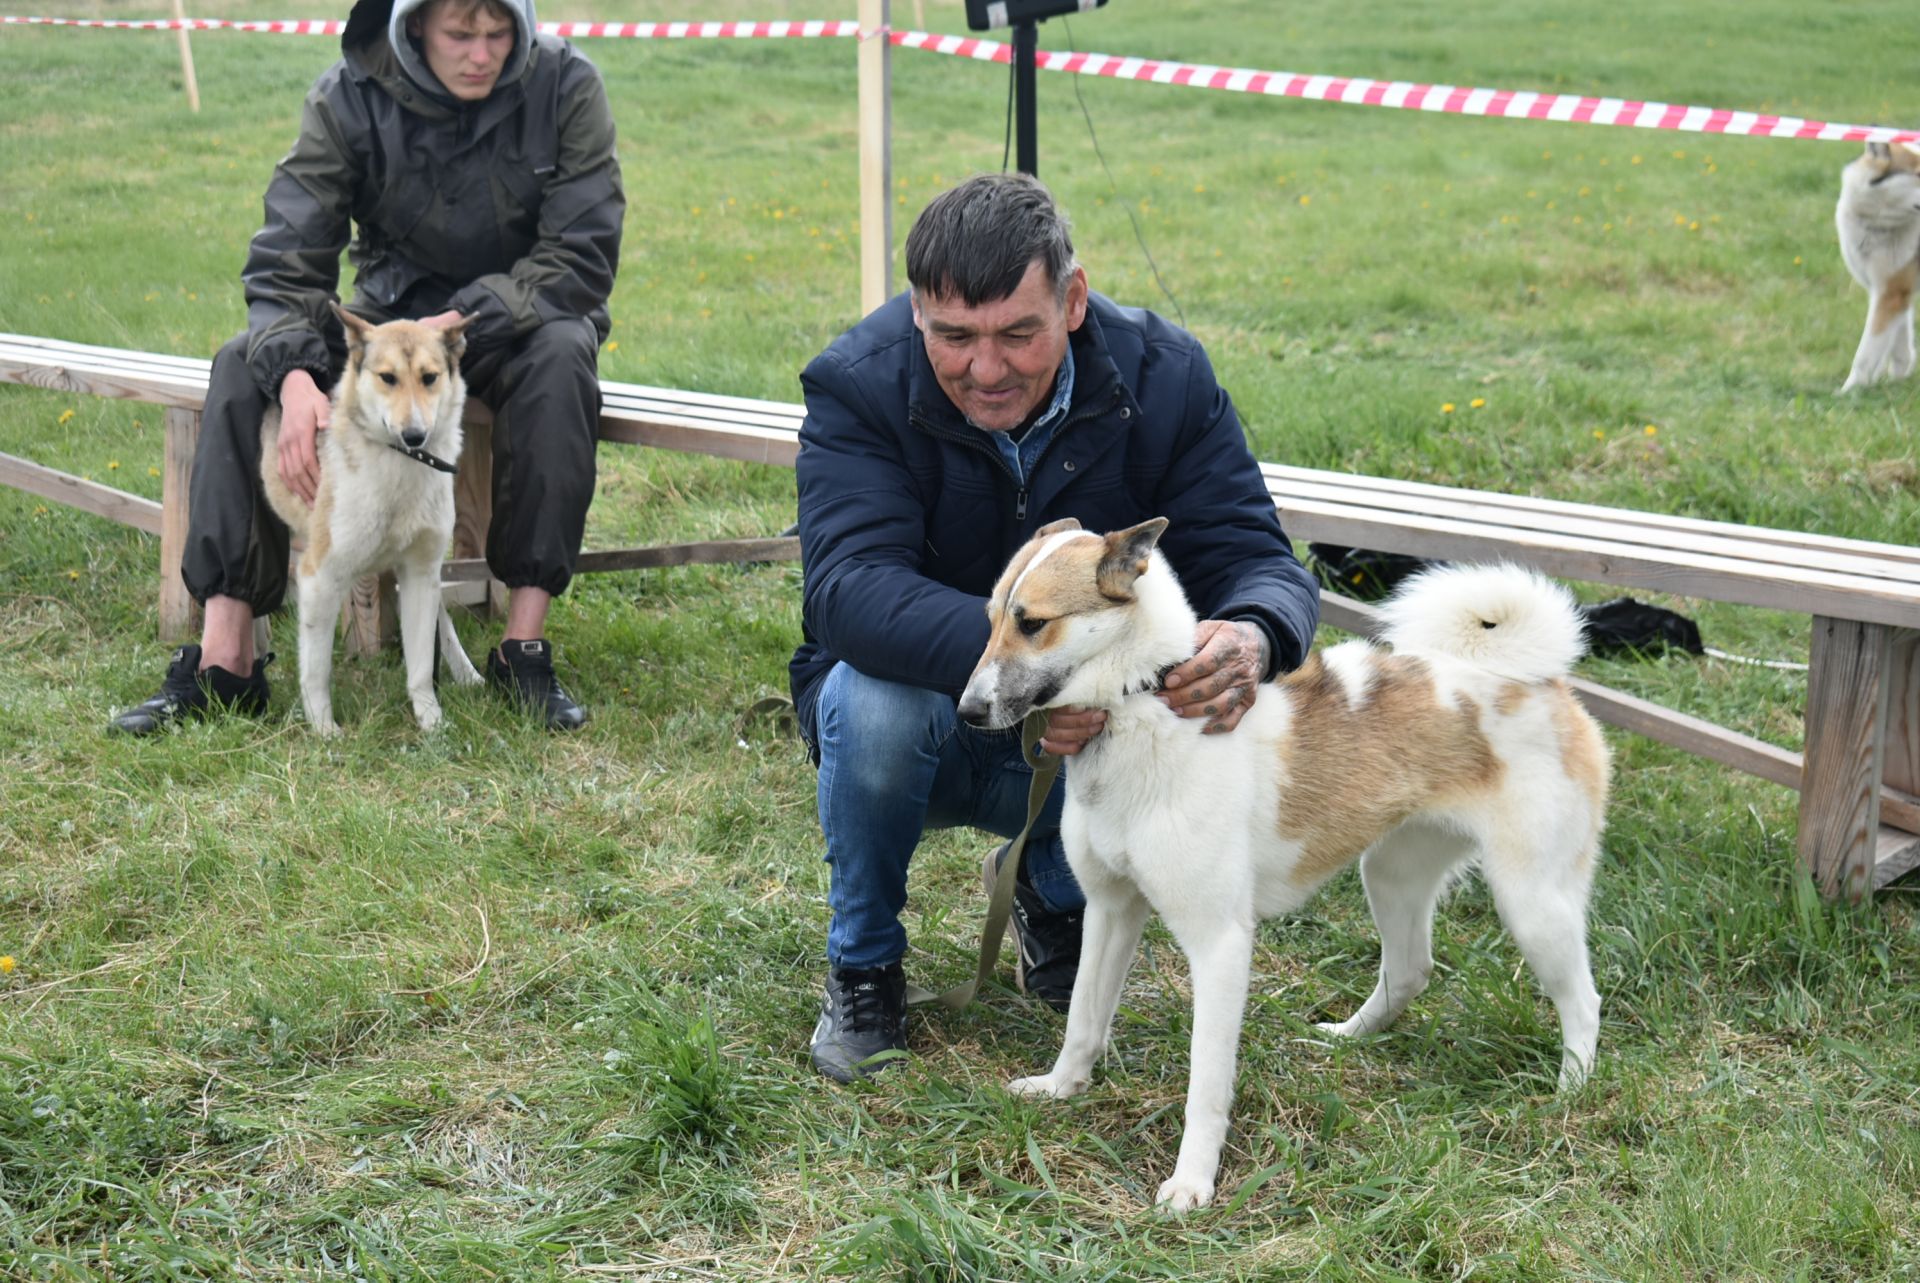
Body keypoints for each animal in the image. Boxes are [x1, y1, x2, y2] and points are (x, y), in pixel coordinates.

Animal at [261, 305, 483, 737]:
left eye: (429, 377)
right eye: (387, 377)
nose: (414, 435)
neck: (402, 463)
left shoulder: (420, 573)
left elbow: (421, 665)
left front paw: (431, 722)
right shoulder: (320, 576)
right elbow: (316, 669)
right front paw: (324, 730)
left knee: (442, 620)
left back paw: (467, 673)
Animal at [956, 518, 1605, 1213]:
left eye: (1032, 623)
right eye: (991, 618)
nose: (965, 711)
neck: (1142, 701)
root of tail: (1538, 680)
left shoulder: (1219, 945)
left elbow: (1205, 1084)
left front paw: (1193, 1182)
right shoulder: (1111, 911)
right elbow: (1082, 1019)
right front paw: (1061, 1088)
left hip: (1531, 902)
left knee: (1583, 1000)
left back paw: (1571, 1094)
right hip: (1392, 875)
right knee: (1409, 970)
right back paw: (1348, 1035)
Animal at [1827, 140, 1920, 391]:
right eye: (1918, 174)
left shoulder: (1890, 294)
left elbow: (1865, 354)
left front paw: (1849, 391)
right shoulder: (1892, 291)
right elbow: (1898, 346)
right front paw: (1895, 381)